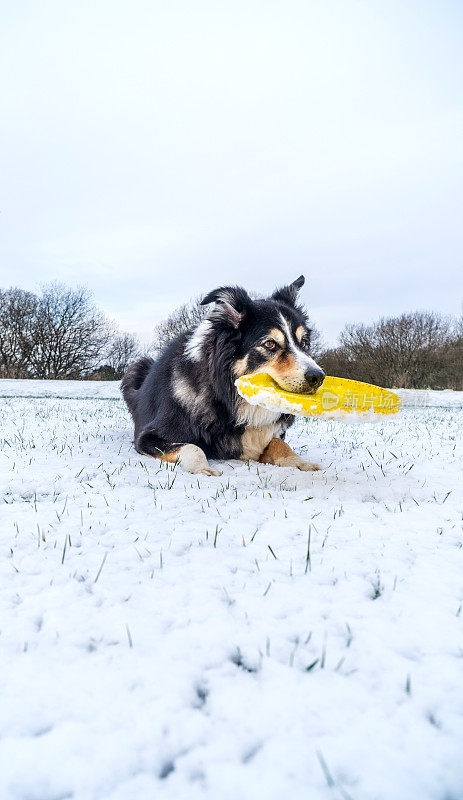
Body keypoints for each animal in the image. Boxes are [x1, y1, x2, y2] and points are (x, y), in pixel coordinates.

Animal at [123, 276, 326, 476]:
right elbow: (192, 447)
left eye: (304, 343)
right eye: (269, 344)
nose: (318, 377)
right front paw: (202, 468)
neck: (231, 398)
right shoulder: (148, 436)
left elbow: (279, 443)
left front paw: (299, 462)